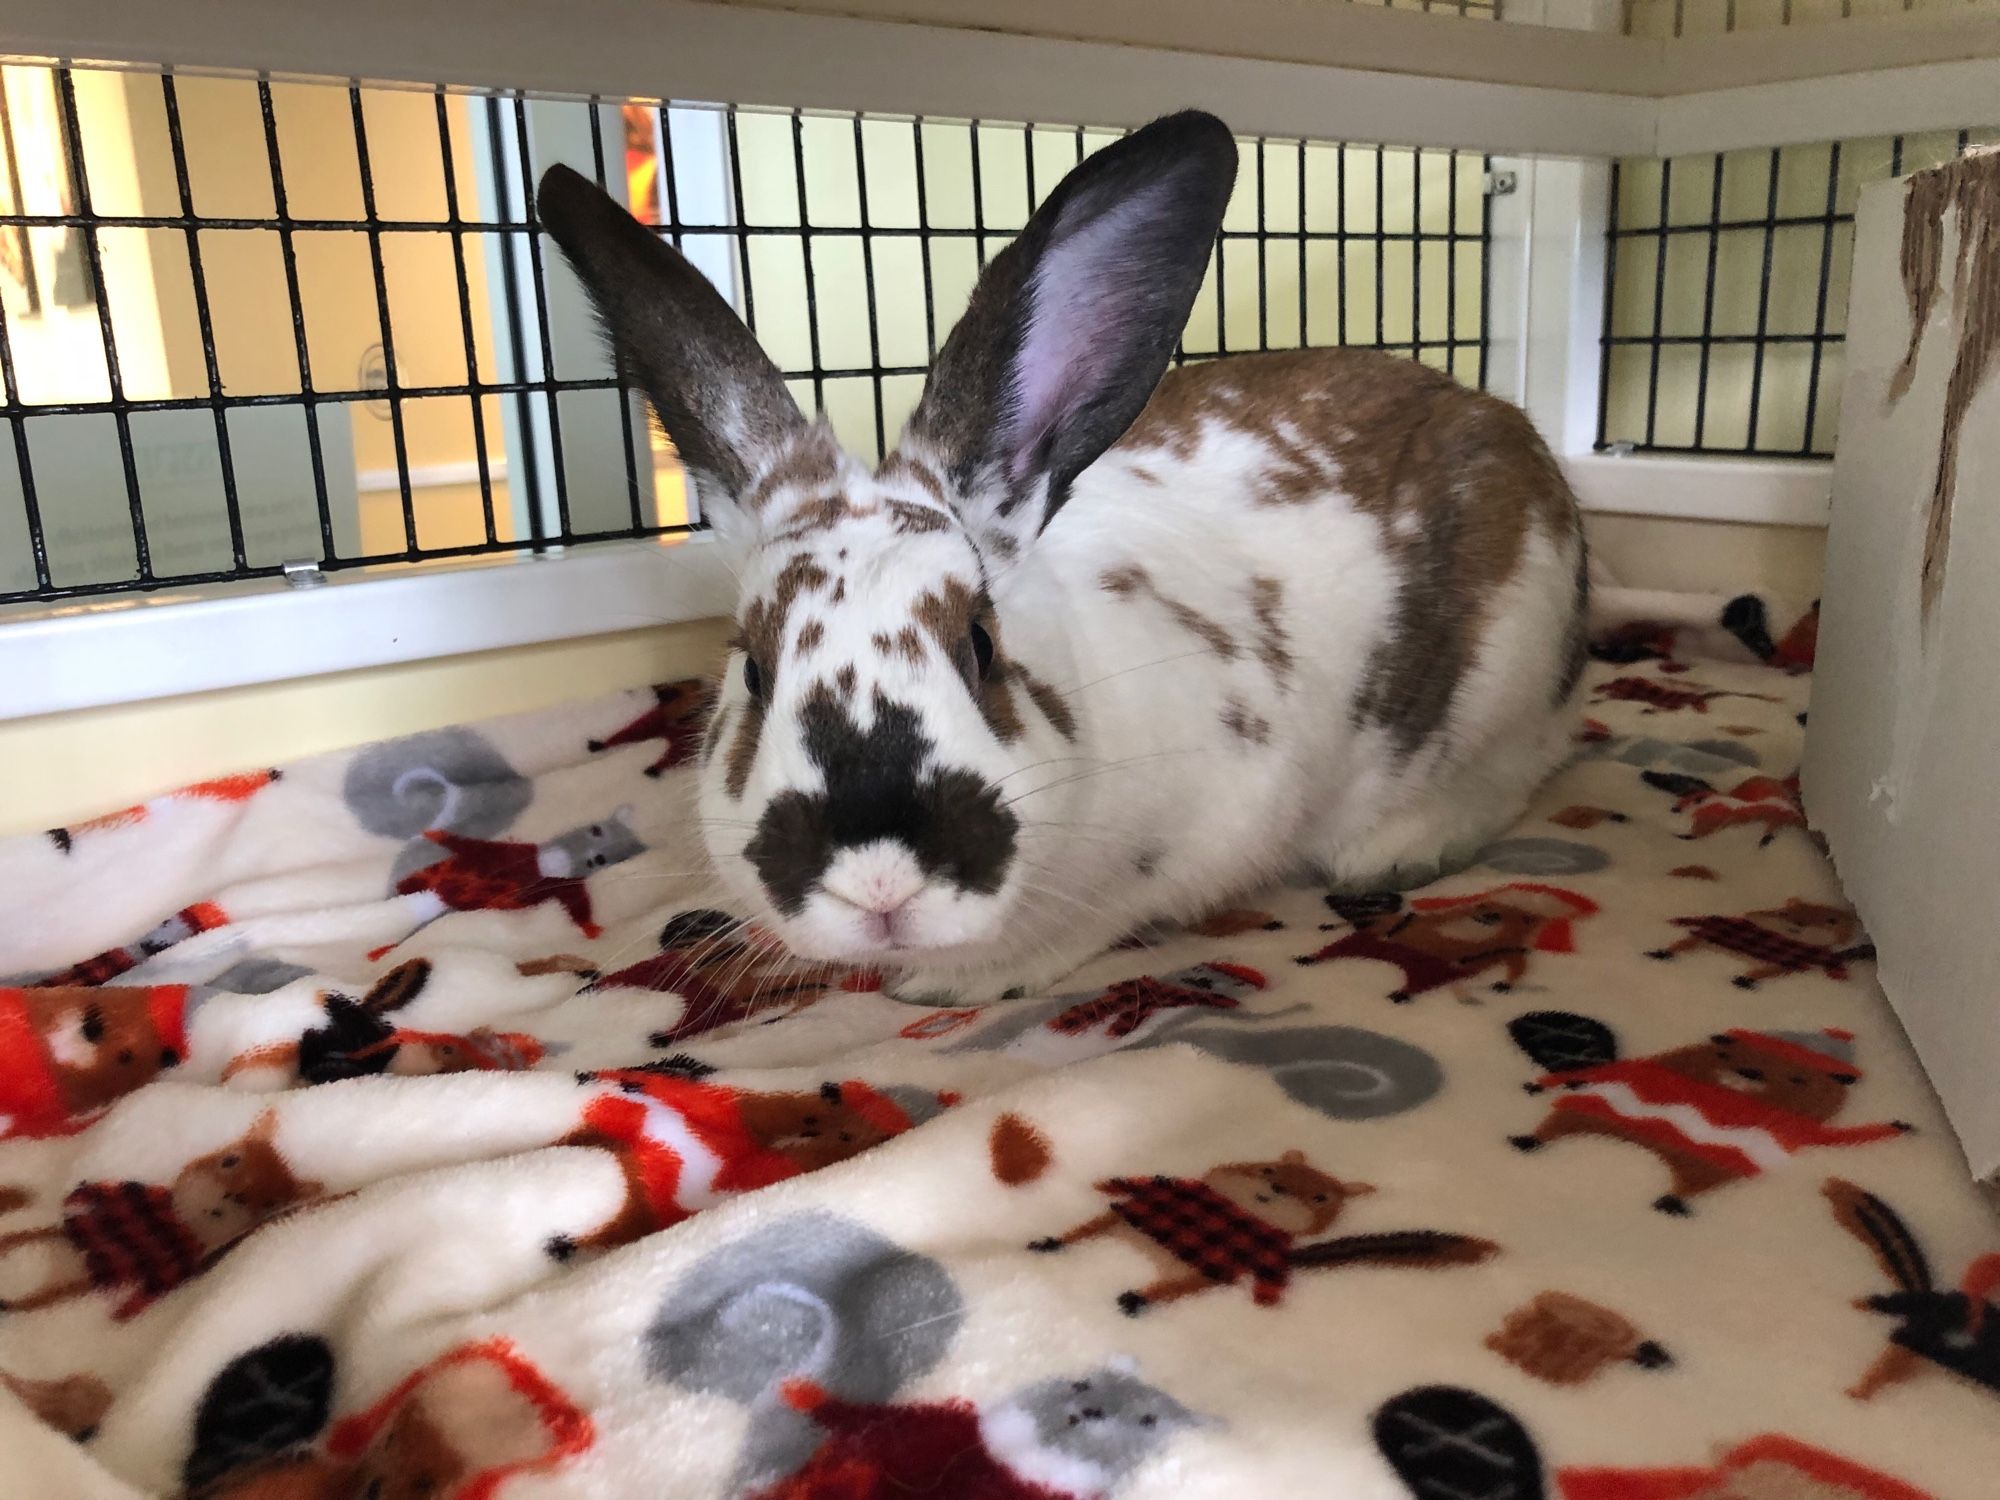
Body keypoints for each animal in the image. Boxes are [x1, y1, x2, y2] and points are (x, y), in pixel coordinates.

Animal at [536, 111, 1592, 1004]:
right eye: (753, 673)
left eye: (980, 646)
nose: (878, 882)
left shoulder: (1219, 812)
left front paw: (960, 983)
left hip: (1508, 676)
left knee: (1520, 767)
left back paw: (1400, 848)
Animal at [1512, 1016, 1904, 1216]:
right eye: (1726, 1056)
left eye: (1798, 1079)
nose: (1749, 1073)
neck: (1721, 1096)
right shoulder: (1644, 1069)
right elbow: (1607, 1070)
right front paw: (1539, 1083)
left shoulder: (1804, 1129)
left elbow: (1841, 1136)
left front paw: (1895, 1127)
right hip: (1588, 1111)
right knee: (1561, 1124)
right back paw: (1527, 1139)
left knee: (1692, 1182)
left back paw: (1673, 1202)